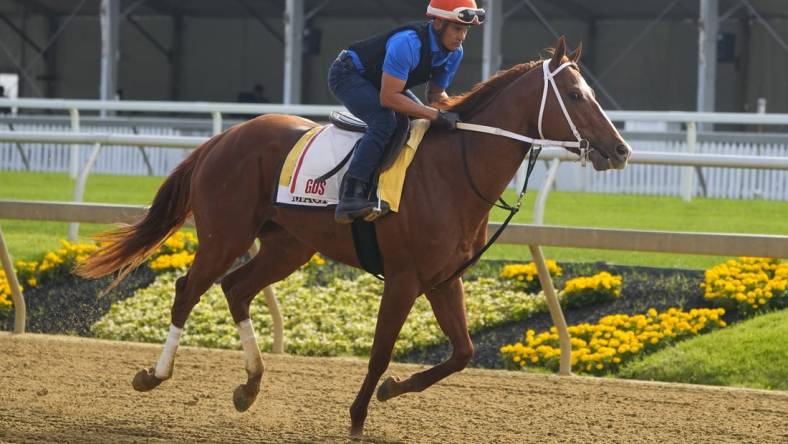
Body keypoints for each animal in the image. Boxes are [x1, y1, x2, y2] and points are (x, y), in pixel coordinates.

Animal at [77, 37, 632, 434]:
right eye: (576, 95)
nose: (620, 150)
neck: (455, 170)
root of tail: (224, 136)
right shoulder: (404, 279)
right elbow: (382, 350)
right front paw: (359, 416)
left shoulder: (443, 279)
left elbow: (463, 353)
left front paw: (390, 391)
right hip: (224, 234)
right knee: (188, 290)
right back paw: (154, 375)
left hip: (288, 245)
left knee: (235, 289)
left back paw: (250, 386)